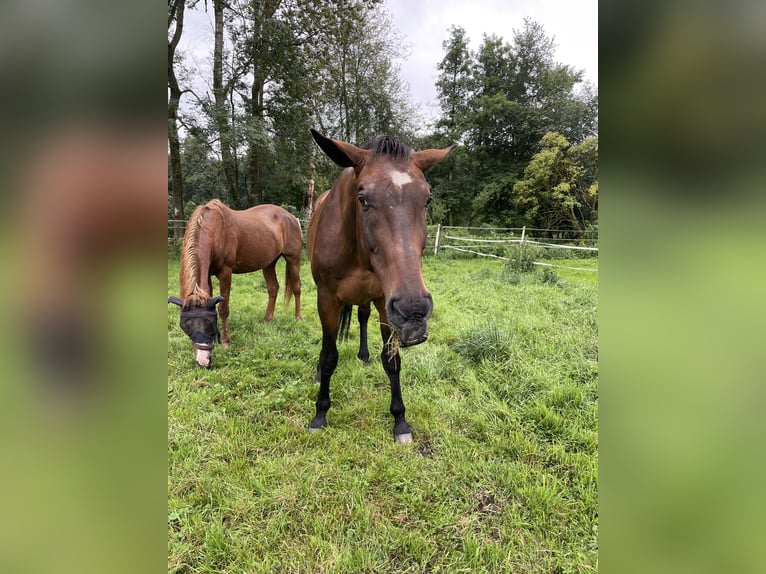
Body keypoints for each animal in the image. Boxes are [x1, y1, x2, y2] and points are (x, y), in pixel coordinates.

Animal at [168, 199, 303, 367]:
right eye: (186, 325)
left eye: (209, 323)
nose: (203, 361)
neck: (213, 228)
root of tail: (292, 218)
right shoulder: (208, 275)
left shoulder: (226, 272)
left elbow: (223, 309)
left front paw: (226, 342)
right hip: (269, 263)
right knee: (273, 288)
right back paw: (267, 319)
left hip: (293, 260)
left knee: (297, 288)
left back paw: (298, 317)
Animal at [307, 129, 456, 443]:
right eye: (362, 198)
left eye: (427, 199)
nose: (414, 311)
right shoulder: (327, 299)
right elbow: (329, 355)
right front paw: (320, 414)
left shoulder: (386, 305)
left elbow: (392, 360)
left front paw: (400, 421)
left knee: (362, 317)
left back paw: (363, 356)